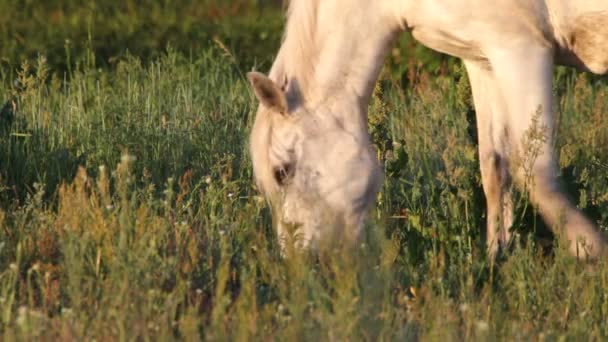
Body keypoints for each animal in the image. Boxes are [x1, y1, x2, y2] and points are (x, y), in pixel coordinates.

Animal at [248, 0, 608, 258]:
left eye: (282, 171)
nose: (303, 264)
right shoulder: (483, 59)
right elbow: (495, 167)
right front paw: (496, 259)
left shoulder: (520, 48)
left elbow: (537, 173)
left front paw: (591, 252)